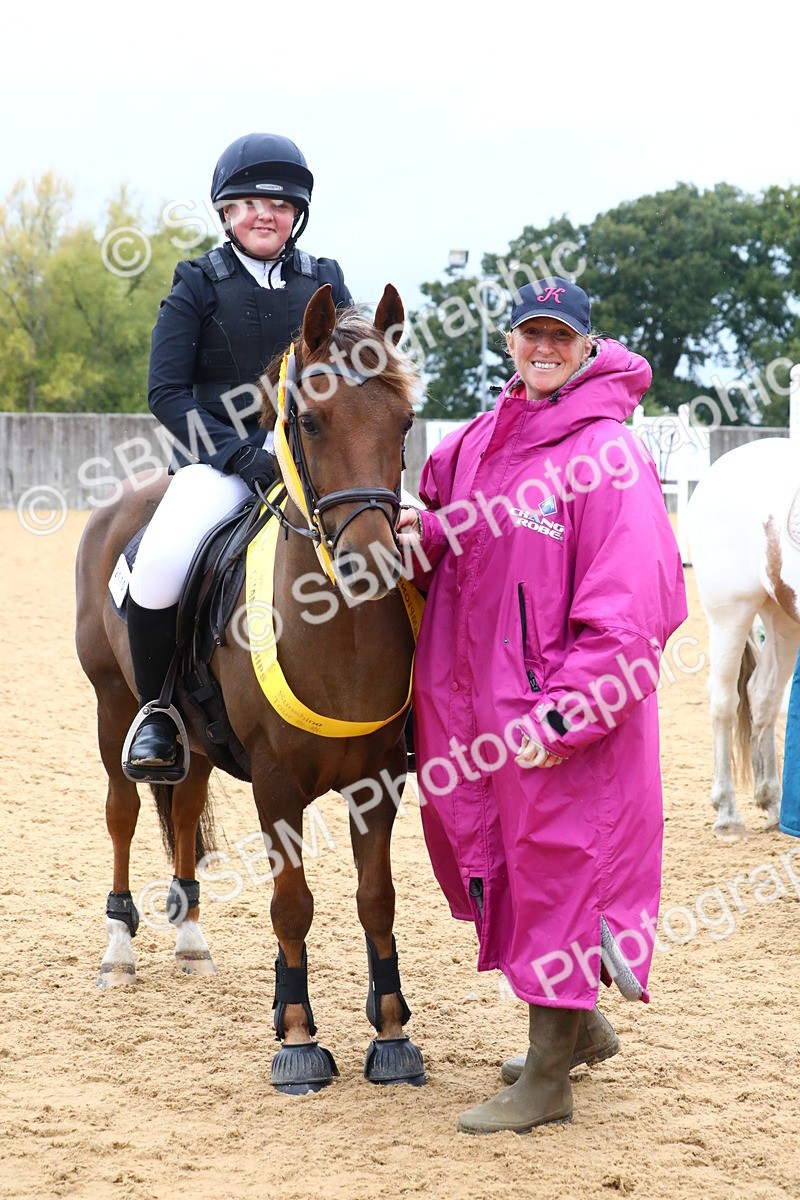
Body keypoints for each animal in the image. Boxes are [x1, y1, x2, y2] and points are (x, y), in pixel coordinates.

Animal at [75, 283, 426, 1092]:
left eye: (404, 421)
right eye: (310, 420)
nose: (372, 564)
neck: (337, 629)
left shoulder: (380, 780)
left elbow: (376, 899)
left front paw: (391, 1032)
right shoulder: (276, 782)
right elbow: (291, 904)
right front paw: (295, 1037)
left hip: (197, 741)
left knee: (182, 808)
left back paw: (190, 936)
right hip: (112, 707)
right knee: (121, 811)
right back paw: (120, 946)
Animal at [685, 436, 800, 840]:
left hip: (782, 615)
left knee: (763, 696)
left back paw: (773, 802)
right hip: (730, 611)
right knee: (724, 701)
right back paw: (728, 814)